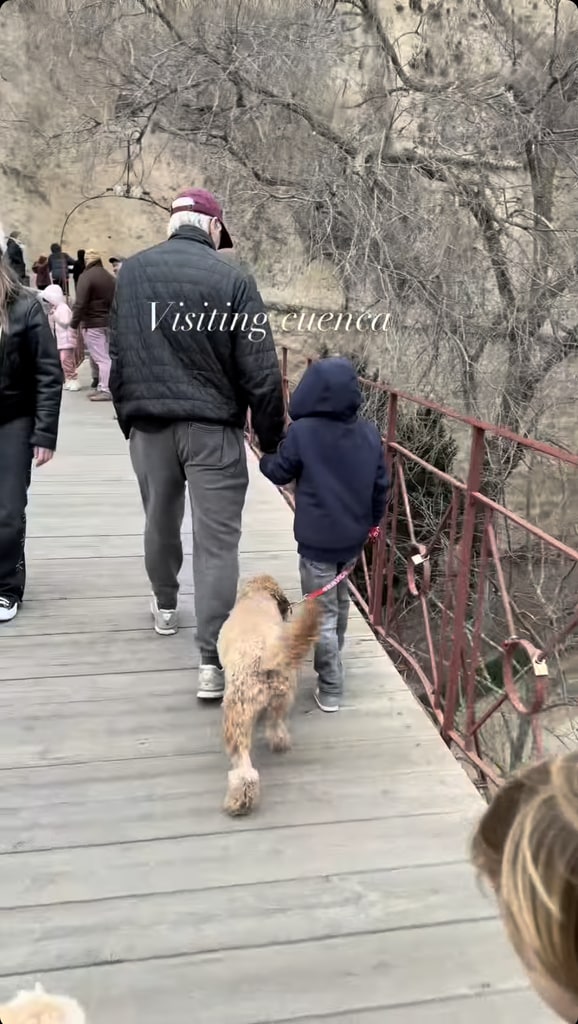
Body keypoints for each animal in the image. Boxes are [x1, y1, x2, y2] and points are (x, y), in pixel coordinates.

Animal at [217, 577, 317, 815]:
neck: (258, 596)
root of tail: (265, 658)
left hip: (237, 712)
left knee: (244, 768)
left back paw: (239, 801)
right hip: (283, 697)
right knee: (276, 726)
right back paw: (279, 742)